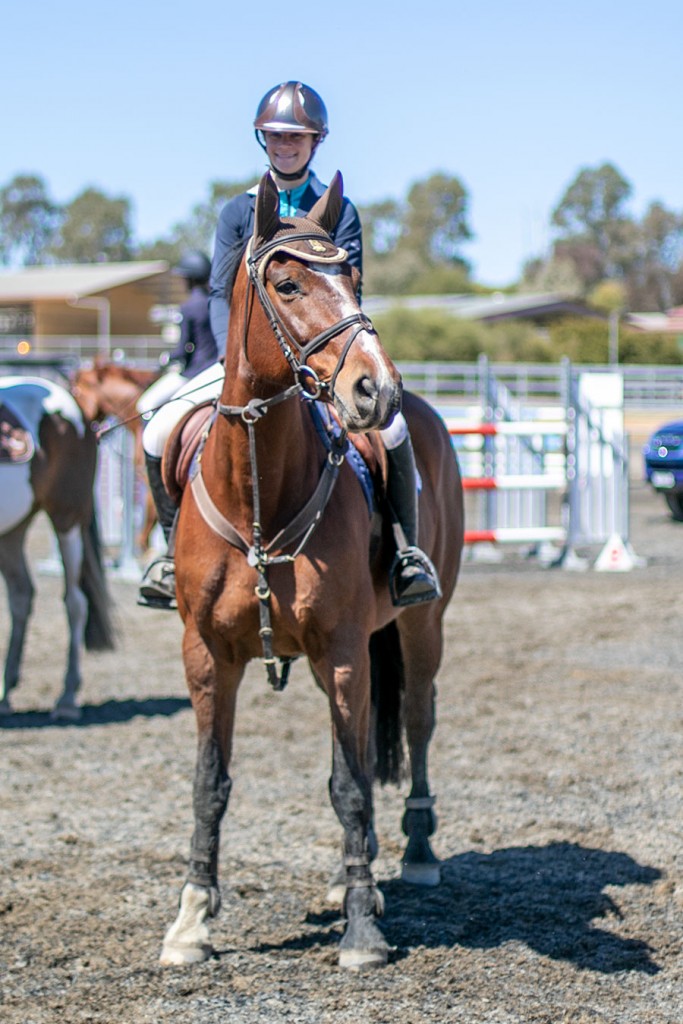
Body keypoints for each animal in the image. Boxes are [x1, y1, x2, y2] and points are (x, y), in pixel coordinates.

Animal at [0, 376, 115, 720]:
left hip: (67, 518)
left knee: (75, 603)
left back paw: (67, 697)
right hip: (12, 531)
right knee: (21, 596)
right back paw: (5, 694)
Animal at [160, 174, 464, 966]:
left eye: (353, 277)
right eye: (287, 282)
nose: (376, 391)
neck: (260, 489)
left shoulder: (343, 649)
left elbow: (350, 785)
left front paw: (361, 931)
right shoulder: (206, 655)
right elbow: (210, 782)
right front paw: (191, 919)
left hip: (419, 626)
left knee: (414, 720)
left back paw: (414, 855)